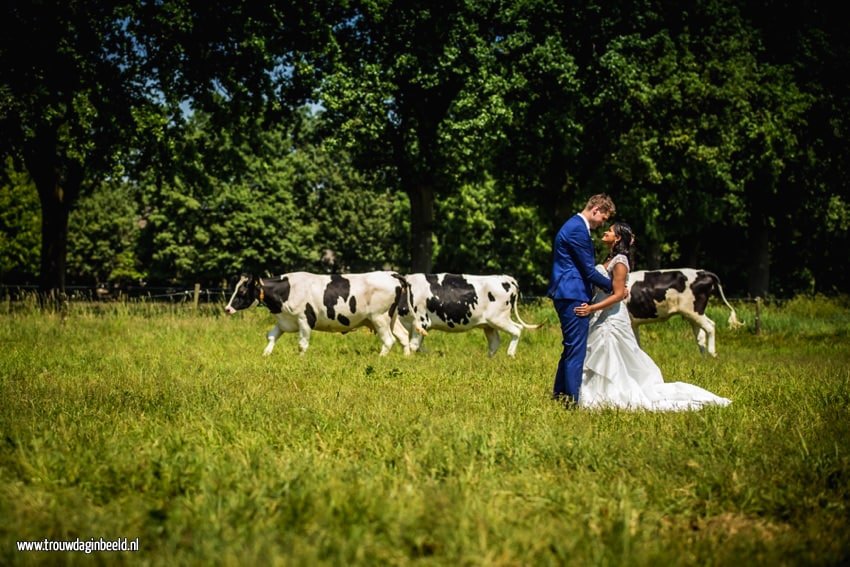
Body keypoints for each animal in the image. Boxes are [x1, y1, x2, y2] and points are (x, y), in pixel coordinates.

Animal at [225, 270, 410, 356]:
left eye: (242, 291)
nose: (227, 309)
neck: (287, 290)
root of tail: (391, 273)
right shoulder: (285, 321)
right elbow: (271, 336)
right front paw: (265, 355)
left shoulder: (304, 319)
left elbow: (302, 344)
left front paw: (300, 360)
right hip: (391, 318)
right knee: (404, 335)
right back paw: (406, 357)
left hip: (379, 317)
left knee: (389, 339)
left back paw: (380, 358)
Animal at [400, 272, 540, 358]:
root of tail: (506, 278)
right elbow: (417, 346)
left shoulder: (420, 321)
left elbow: (413, 346)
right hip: (489, 325)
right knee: (494, 343)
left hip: (498, 318)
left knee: (517, 329)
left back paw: (510, 354)